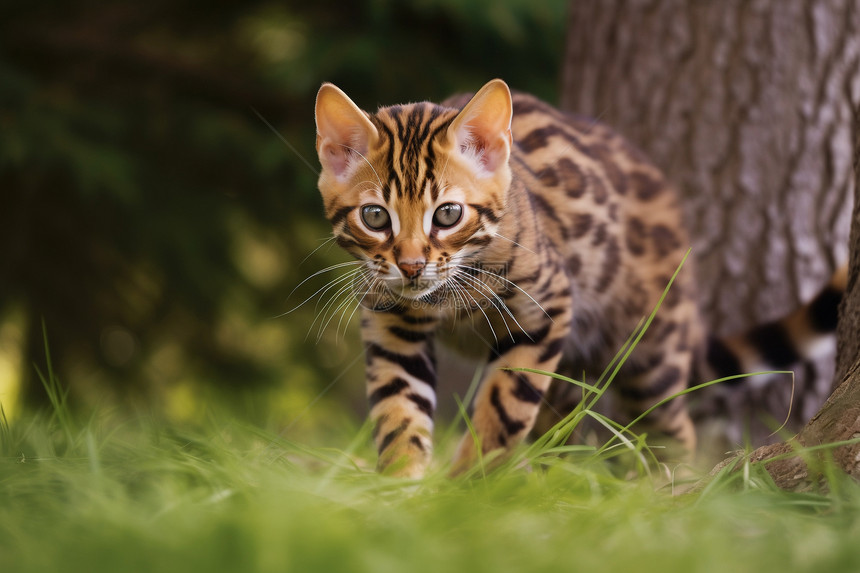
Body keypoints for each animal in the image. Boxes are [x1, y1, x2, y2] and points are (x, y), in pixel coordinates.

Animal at [312, 78, 844, 476]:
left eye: (447, 214)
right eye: (375, 218)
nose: (410, 266)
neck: (444, 298)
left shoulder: (545, 309)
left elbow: (502, 408)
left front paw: (466, 488)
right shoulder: (391, 325)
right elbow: (398, 413)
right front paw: (401, 490)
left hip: (650, 349)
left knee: (674, 429)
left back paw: (665, 491)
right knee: (563, 425)